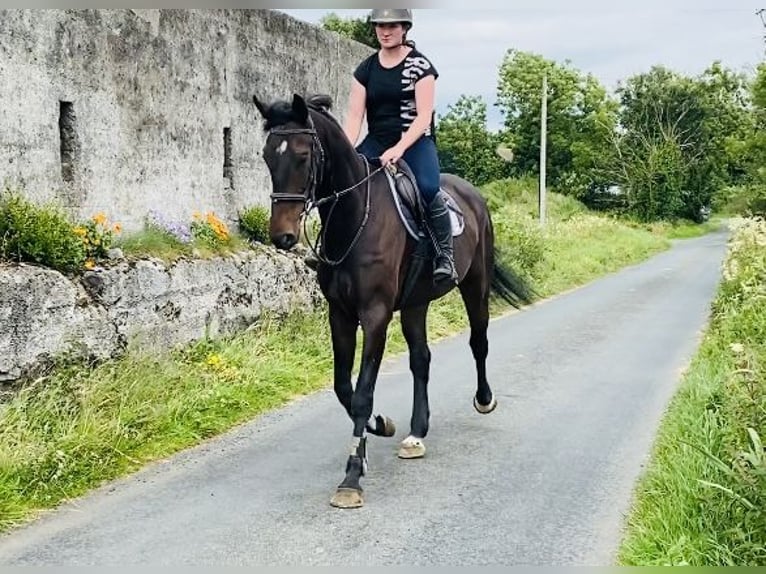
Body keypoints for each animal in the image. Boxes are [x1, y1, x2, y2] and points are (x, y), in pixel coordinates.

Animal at [254, 91, 536, 508]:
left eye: (304, 156)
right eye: (267, 156)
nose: (282, 236)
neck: (355, 218)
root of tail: (472, 194)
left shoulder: (375, 315)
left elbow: (362, 393)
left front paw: (352, 477)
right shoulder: (340, 314)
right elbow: (344, 387)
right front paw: (381, 426)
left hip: (475, 285)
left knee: (478, 341)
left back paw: (484, 399)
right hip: (417, 304)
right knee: (421, 359)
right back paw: (416, 433)